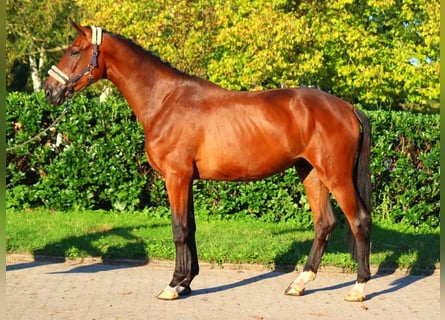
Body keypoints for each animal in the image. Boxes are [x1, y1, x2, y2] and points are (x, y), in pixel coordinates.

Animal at [45, 21, 372, 302]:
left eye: (74, 51)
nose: (49, 90)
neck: (165, 100)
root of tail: (347, 108)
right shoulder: (186, 178)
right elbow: (190, 228)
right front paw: (186, 282)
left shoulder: (175, 176)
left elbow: (179, 229)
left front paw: (173, 285)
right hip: (311, 173)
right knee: (324, 224)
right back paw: (299, 283)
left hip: (336, 175)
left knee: (359, 221)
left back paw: (358, 287)